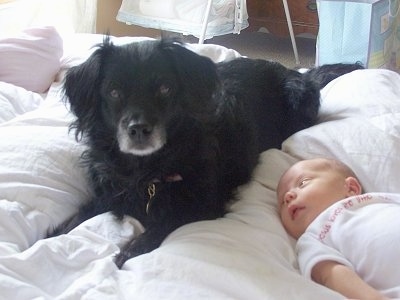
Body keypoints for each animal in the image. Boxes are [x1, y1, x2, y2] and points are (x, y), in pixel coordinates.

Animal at [50, 38, 362, 268]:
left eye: (165, 88)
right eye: (114, 92)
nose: (138, 129)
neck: (147, 169)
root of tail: (294, 71)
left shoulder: (205, 203)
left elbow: (166, 219)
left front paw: (128, 250)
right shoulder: (109, 189)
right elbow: (77, 217)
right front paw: (51, 235)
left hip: (300, 98)